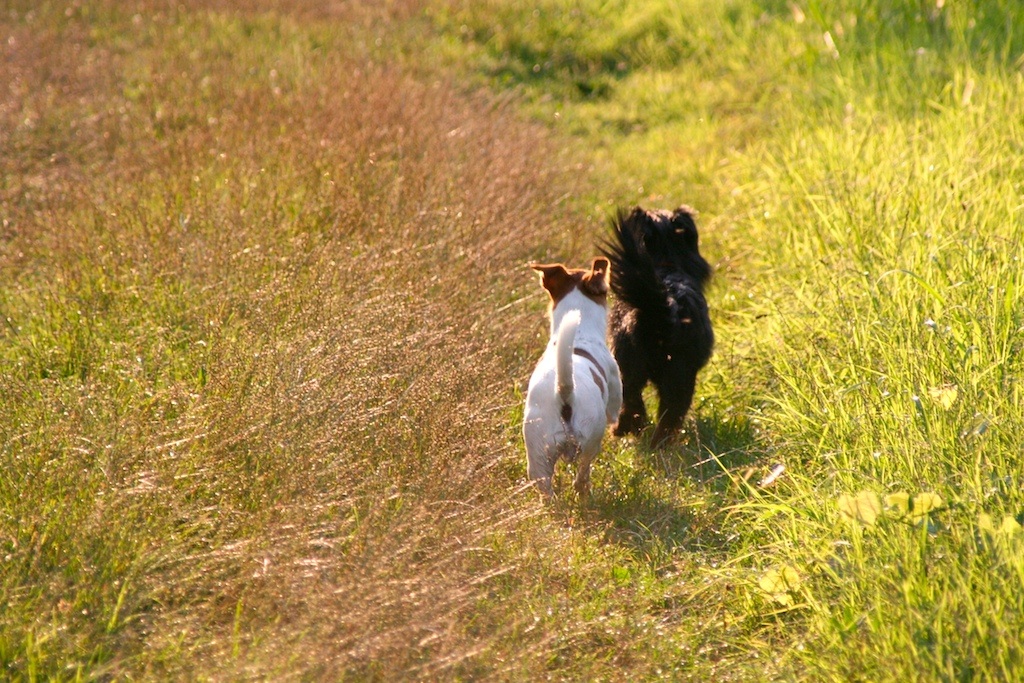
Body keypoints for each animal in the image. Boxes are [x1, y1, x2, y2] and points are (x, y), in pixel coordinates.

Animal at [524, 255, 618, 497]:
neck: (580, 334)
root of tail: (564, 392)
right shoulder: (615, 380)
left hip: (538, 453)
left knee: (546, 489)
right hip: (591, 440)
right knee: (582, 474)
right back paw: (585, 492)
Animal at [598, 205, 712, 446]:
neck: (665, 263)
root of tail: (664, 309)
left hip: (634, 365)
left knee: (635, 403)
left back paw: (627, 431)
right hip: (677, 374)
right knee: (664, 411)